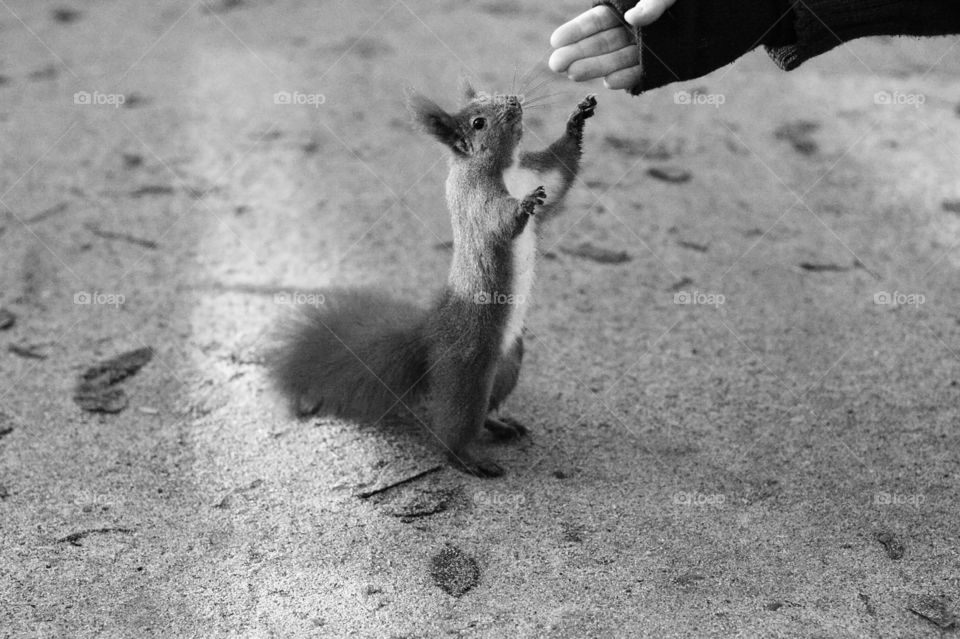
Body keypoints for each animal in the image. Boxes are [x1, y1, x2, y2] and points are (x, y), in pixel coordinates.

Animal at [269, 83, 596, 477]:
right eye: (478, 122)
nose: (514, 101)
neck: (505, 167)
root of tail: (430, 334)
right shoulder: (478, 202)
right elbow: (499, 221)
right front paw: (521, 206)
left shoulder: (537, 172)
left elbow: (561, 172)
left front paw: (577, 120)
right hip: (467, 371)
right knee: (454, 427)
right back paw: (468, 459)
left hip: (509, 364)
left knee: (487, 408)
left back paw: (499, 425)